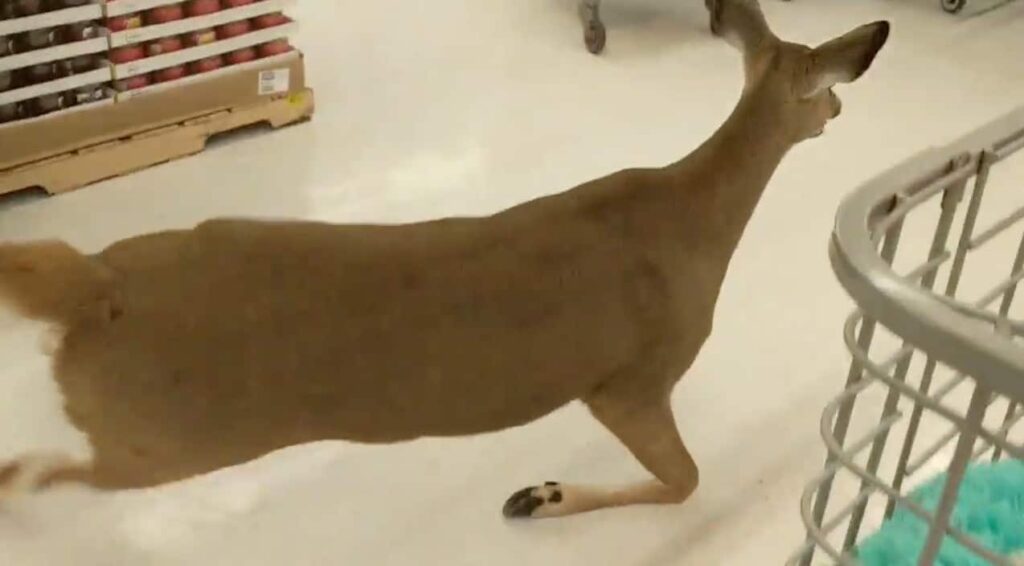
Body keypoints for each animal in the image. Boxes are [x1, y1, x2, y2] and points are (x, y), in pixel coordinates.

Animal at [0, 0, 888, 520]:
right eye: (827, 89)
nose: (842, 109)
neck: (695, 216)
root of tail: (95, 288)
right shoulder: (629, 381)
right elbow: (685, 480)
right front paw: (540, 494)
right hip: (166, 443)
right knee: (67, 472)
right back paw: (25, 478)